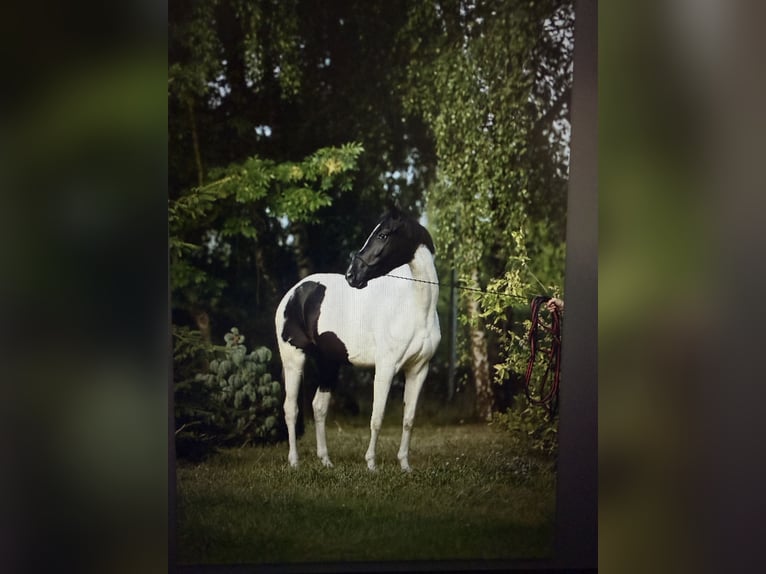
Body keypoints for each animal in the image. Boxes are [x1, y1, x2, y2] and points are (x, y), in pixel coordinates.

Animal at [275, 207, 441, 471]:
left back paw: (326, 461)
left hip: (328, 363)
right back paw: (294, 462)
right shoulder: (385, 368)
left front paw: (405, 465)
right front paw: (371, 464)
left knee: (318, 408)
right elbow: (377, 417)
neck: (416, 309)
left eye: (383, 235)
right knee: (291, 409)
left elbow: (409, 419)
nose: (352, 275)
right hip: (294, 359)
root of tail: (294, 292)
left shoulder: (418, 369)